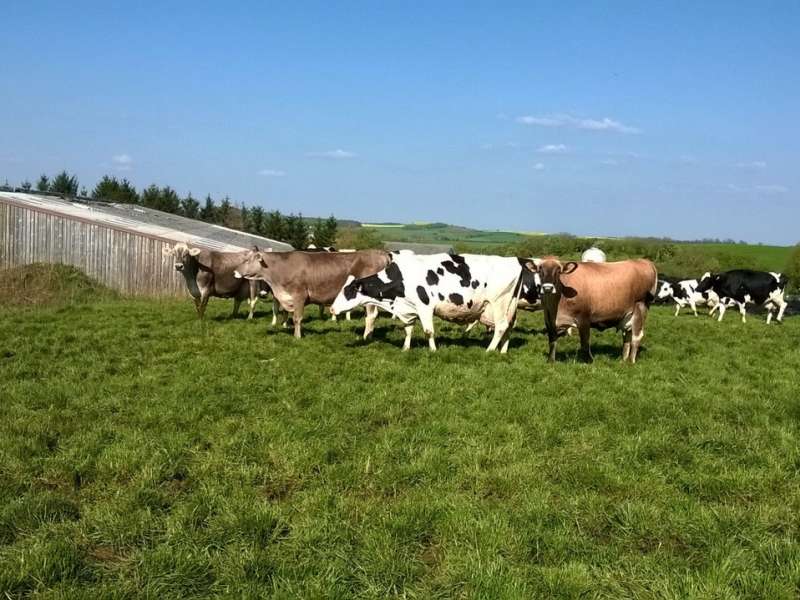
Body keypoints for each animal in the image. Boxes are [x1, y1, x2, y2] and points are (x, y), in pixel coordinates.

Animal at [233, 248, 392, 338]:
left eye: (247, 261)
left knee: (371, 316)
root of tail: (380, 253)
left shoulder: (299, 295)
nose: (235, 271)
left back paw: (366, 337)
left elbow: (297, 318)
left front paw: (297, 337)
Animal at [332, 252, 532, 352]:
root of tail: (515, 261)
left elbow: (428, 331)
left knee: (501, 327)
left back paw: (490, 350)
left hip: (498, 303)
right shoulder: (409, 308)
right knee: (508, 327)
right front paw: (406, 348)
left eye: (348, 292)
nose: (332, 309)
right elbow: (408, 329)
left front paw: (433, 350)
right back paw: (503, 351)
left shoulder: (425, 307)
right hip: (509, 306)